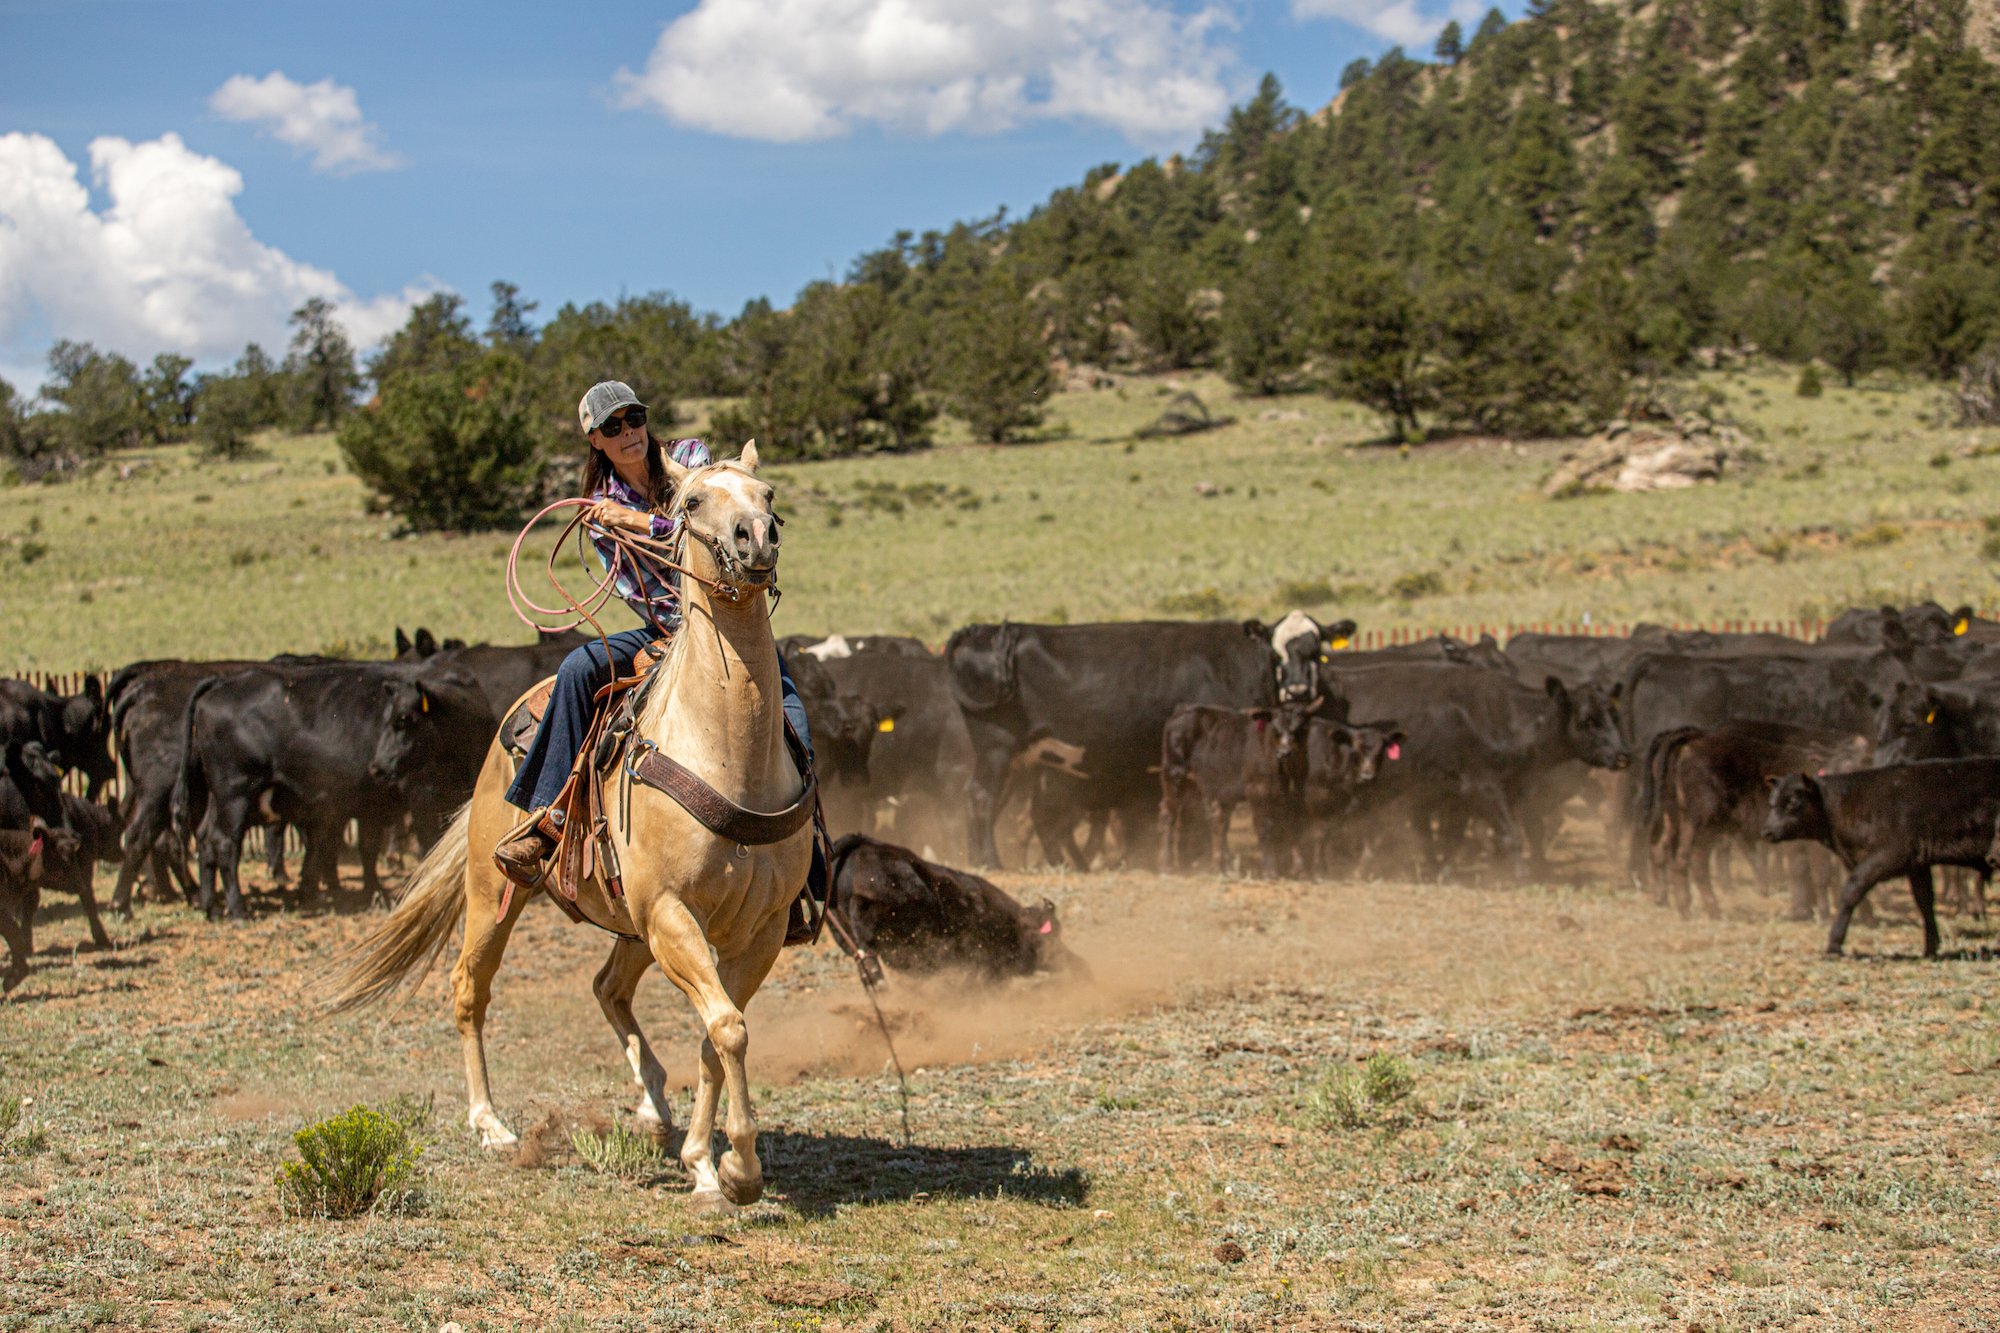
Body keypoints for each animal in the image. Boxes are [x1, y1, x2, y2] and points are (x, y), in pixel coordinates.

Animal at [320, 440, 804, 1208]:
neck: (726, 748)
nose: (755, 538)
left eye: (768, 493)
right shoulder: (672, 913)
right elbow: (727, 1027)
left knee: (608, 987)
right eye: (693, 501)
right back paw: (491, 1123)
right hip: (497, 892)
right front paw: (738, 1170)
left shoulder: (761, 929)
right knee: (469, 987)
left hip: (630, 924)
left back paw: (653, 1104)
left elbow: (717, 1032)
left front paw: (706, 1159)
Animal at [1768, 756, 2000, 956]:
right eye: (1772, 802)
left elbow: (1851, 891)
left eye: (1792, 801)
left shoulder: (1887, 856)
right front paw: (1930, 948)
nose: (1766, 831)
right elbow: (1924, 901)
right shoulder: (1917, 864)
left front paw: (1834, 944)